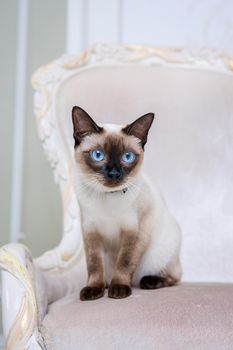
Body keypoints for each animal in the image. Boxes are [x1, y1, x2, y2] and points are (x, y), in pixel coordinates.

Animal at [71, 106, 182, 300]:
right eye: (98, 155)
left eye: (127, 157)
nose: (114, 174)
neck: (108, 197)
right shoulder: (90, 231)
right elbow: (94, 265)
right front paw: (94, 289)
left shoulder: (134, 231)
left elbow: (125, 262)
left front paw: (119, 289)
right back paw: (106, 284)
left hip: (162, 250)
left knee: (175, 277)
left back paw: (148, 281)